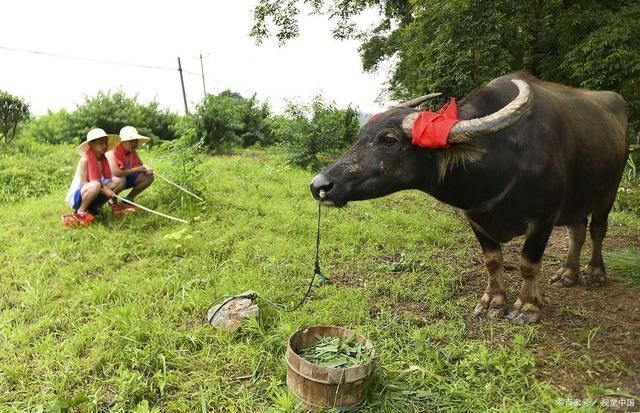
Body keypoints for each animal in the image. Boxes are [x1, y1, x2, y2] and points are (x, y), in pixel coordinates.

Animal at [312, 71, 632, 322]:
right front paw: (493, 302)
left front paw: (527, 307)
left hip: (609, 191)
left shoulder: (543, 217)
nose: (320, 185)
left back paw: (595, 272)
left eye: (388, 139)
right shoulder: (475, 216)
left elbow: (528, 263)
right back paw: (567, 273)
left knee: (597, 229)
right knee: (577, 230)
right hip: (577, 200)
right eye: (359, 136)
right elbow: (492, 260)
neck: (504, 156)